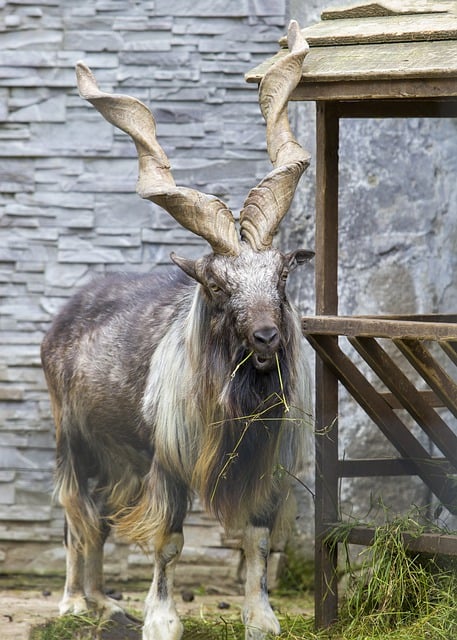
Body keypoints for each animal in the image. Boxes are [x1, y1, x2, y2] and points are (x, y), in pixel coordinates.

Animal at [41, 20, 314, 640]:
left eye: (282, 275)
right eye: (215, 284)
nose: (267, 339)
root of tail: (70, 310)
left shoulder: (265, 465)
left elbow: (258, 541)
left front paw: (262, 618)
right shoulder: (165, 463)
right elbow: (168, 542)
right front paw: (161, 620)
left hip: (113, 452)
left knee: (99, 521)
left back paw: (106, 603)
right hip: (74, 437)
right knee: (75, 517)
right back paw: (71, 604)